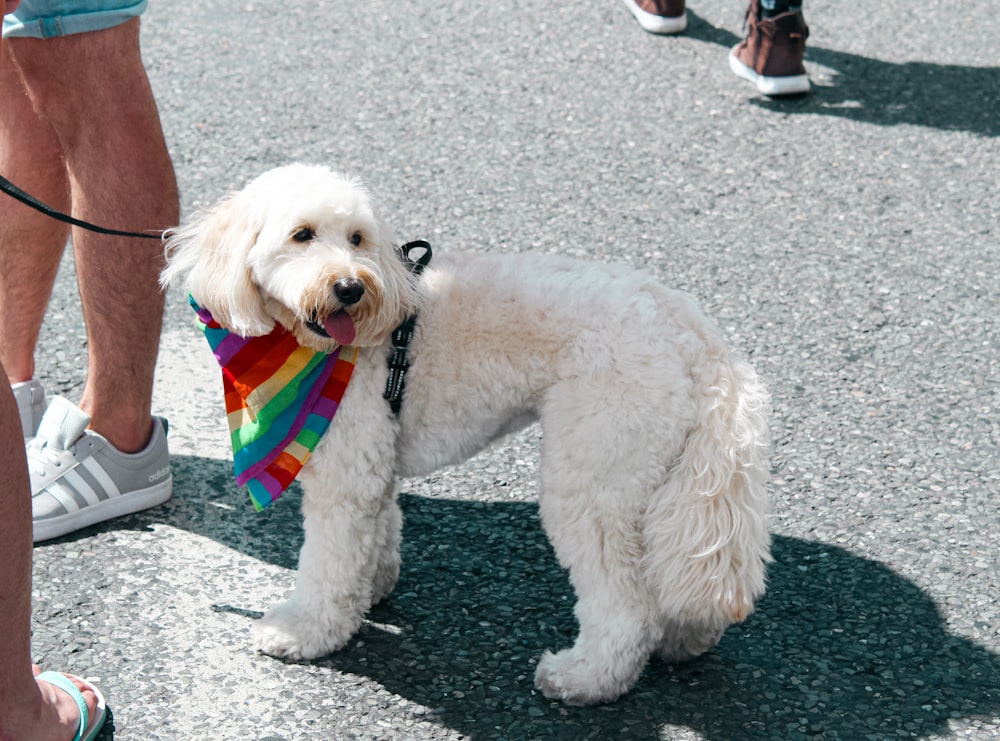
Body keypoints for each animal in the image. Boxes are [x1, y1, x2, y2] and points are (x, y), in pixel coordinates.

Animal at [162, 163, 772, 704]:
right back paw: (684, 640)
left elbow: (328, 562)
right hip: (657, 471)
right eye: (302, 235)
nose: (351, 288)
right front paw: (373, 588)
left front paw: (305, 629)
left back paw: (586, 679)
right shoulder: (375, 458)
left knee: (625, 602)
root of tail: (697, 336)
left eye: (357, 239)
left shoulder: (346, 469)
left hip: (593, 470)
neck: (310, 349)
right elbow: (377, 531)